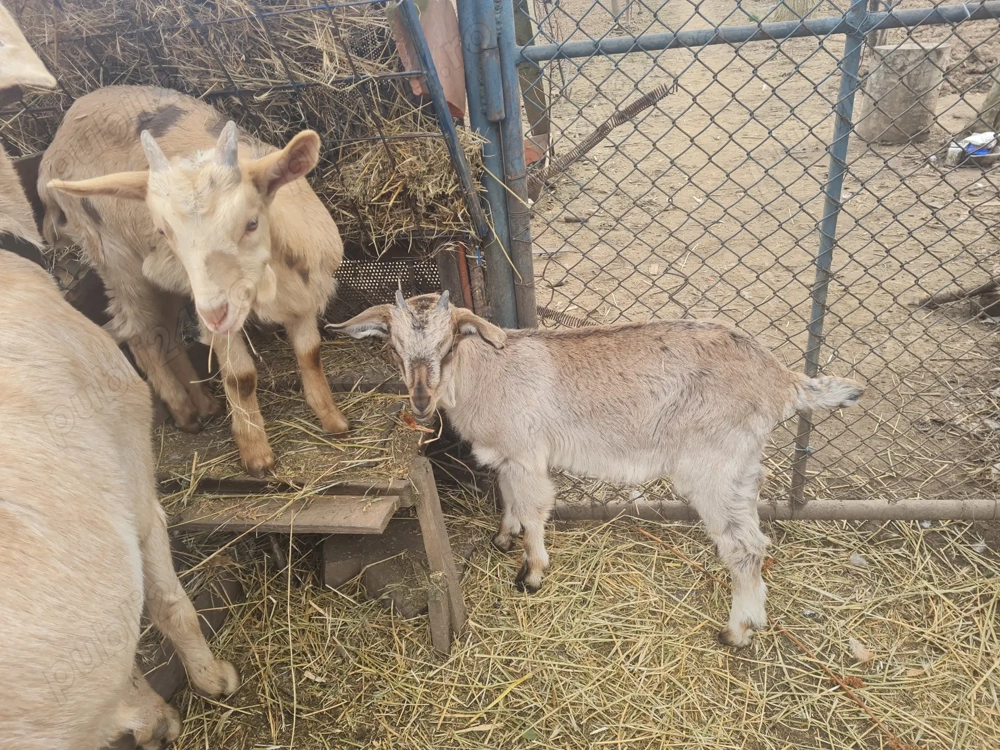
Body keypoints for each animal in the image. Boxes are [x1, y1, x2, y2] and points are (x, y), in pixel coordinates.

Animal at [38, 85, 350, 476]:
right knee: (138, 332)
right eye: (164, 231)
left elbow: (310, 354)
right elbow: (240, 377)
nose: (215, 312)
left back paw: (204, 403)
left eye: (251, 222)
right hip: (115, 256)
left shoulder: (305, 296)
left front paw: (333, 421)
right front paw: (256, 454)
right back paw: (185, 412)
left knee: (167, 332)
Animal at [328, 292, 864, 647]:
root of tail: (782, 379)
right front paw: (503, 538)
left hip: (713, 466)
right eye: (394, 347)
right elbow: (508, 497)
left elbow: (534, 507)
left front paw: (532, 573)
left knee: (744, 546)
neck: (488, 373)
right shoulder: (507, 455)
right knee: (756, 541)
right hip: (742, 467)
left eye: (449, 346)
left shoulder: (527, 452)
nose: (421, 402)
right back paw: (755, 618)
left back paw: (736, 631)